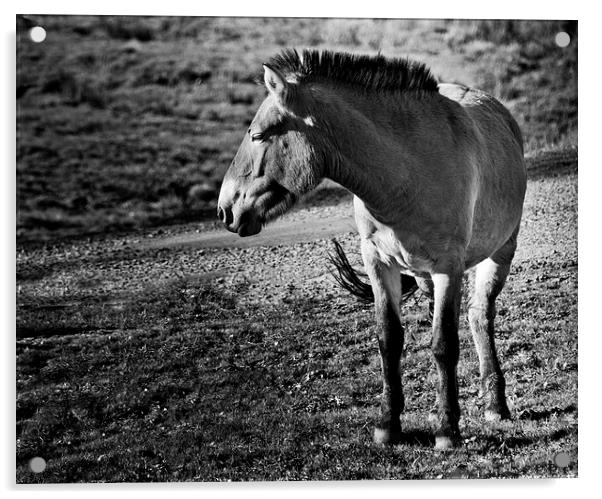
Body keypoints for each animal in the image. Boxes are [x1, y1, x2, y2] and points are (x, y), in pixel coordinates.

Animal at [217, 48, 524, 452]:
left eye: (257, 134)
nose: (225, 210)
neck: (406, 173)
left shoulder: (448, 267)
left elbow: (444, 344)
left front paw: (446, 430)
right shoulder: (379, 263)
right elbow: (389, 340)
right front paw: (388, 425)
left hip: (498, 254)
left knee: (479, 317)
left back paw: (494, 405)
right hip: (424, 275)